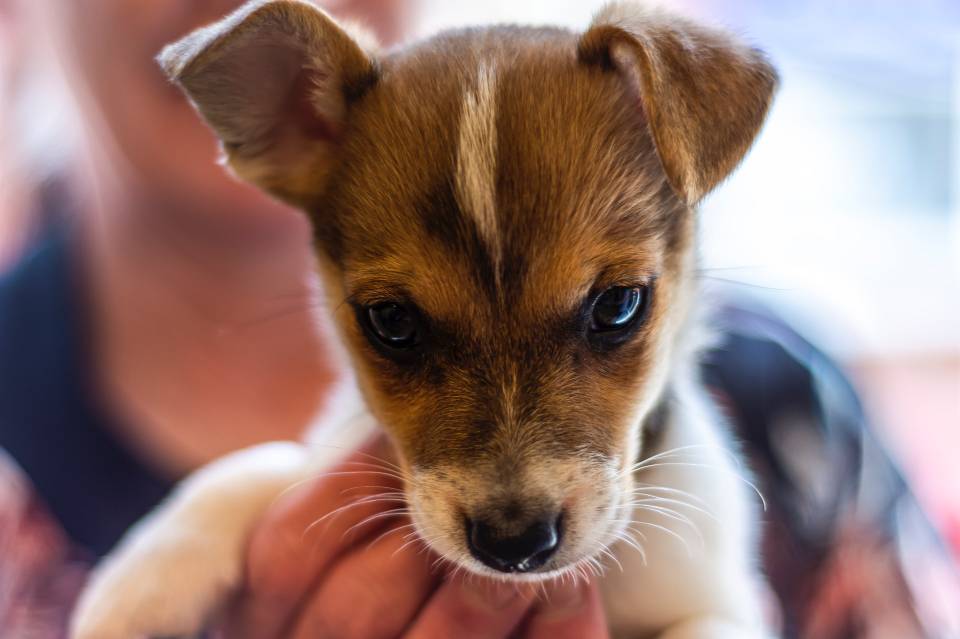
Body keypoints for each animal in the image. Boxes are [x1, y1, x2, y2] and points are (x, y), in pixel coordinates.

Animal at [73, 2, 780, 636]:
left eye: (617, 306)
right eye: (391, 322)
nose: (513, 543)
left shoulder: (719, 605)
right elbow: (266, 466)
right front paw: (142, 578)